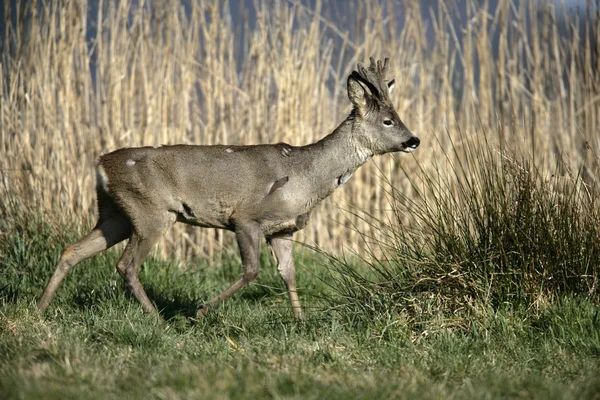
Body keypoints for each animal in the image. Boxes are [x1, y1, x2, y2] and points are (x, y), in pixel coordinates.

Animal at [37, 57, 420, 318]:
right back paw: (157, 318)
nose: (414, 140)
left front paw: (300, 320)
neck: (307, 177)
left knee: (73, 250)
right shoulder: (247, 217)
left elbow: (289, 274)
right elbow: (252, 271)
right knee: (126, 264)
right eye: (389, 121)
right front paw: (201, 310)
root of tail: (100, 164)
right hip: (152, 212)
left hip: (115, 212)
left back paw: (41, 307)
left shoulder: (283, 230)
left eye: (399, 116)